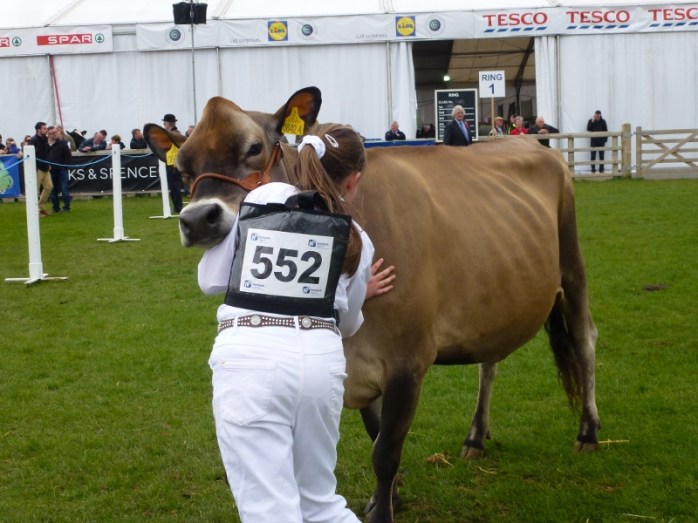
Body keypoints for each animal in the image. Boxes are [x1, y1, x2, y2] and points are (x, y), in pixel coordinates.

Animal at [144, 87, 601, 523]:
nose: (199, 219)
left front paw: (384, 509)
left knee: (584, 340)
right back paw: (475, 437)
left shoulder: (408, 362)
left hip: (573, 264)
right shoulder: (355, 365)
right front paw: (390, 498)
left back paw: (589, 433)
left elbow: (385, 452)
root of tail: (531, 144)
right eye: (182, 166)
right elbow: (376, 434)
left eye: (254, 147)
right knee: (490, 360)